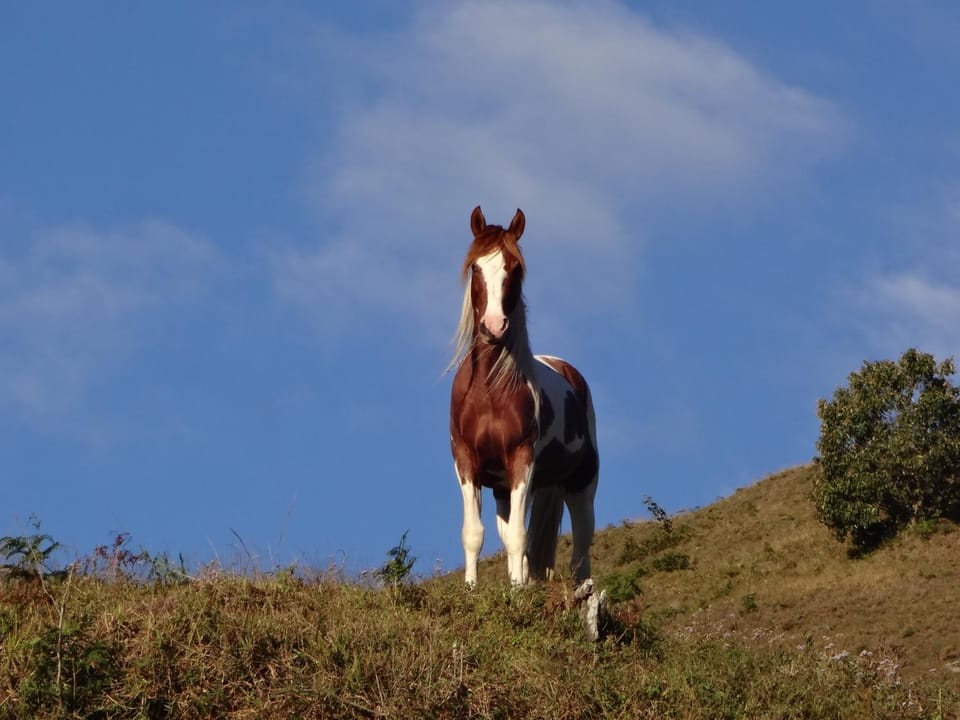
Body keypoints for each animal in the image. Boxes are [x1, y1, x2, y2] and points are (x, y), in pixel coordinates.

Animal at [449, 206, 599, 586]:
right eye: (476, 267)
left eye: (514, 267)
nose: (493, 325)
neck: (490, 390)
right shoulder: (466, 461)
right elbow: (474, 533)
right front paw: (472, 590)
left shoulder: (522, 459)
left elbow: (519, 537)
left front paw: (516, 592)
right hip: (508, 488)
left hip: (581, 481)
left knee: (581, 544)